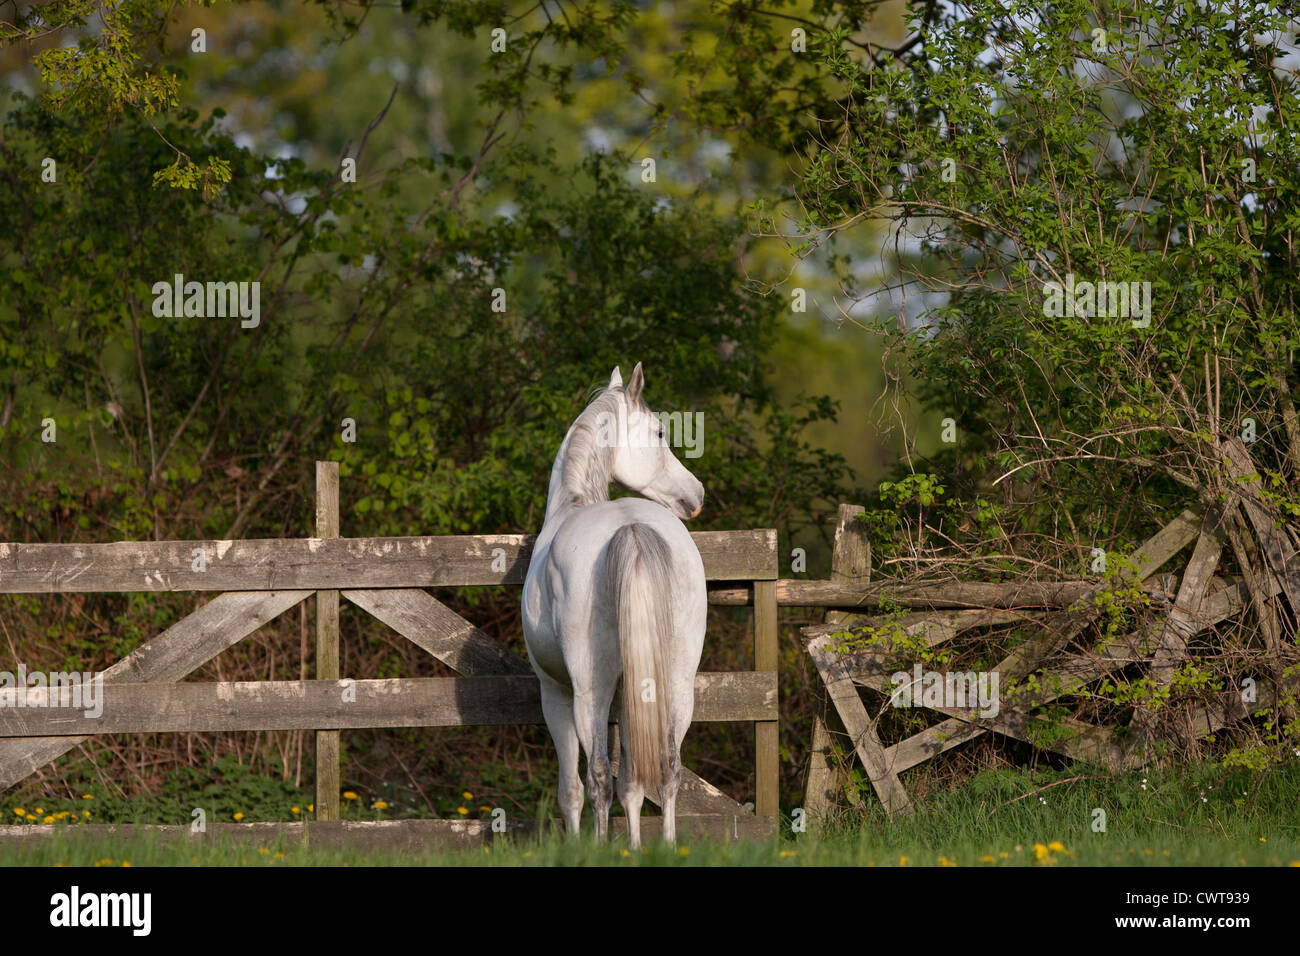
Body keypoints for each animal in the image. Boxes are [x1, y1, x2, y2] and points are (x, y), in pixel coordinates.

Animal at [521, 362, 707, 849]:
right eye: (660, 432)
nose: (697, 494)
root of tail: (631, 526)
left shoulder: (555, 692)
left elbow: (573, 789)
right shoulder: (631, 694)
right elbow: (633, 783)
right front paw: (636, 848)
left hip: (589, 690)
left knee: (598, 777)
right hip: (676, 684)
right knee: (667, 769)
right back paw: (666, 847)